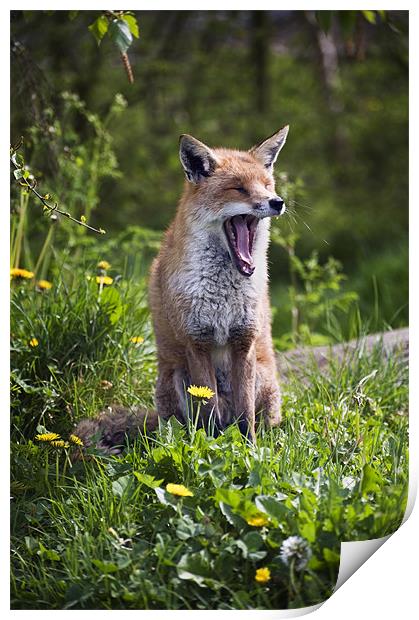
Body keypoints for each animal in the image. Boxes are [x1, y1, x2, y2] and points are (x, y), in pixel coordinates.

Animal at [74, 126, 290, 452]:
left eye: (267, 185)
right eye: (238, 189)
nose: (277, 201)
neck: (222, 295)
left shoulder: (244, 341)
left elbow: (246, 416)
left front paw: (249, 451)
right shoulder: (196, 341)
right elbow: (209, 411)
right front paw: (211, 448)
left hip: (263, 379)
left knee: (252, 420)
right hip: (176, 378)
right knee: (190, 425)